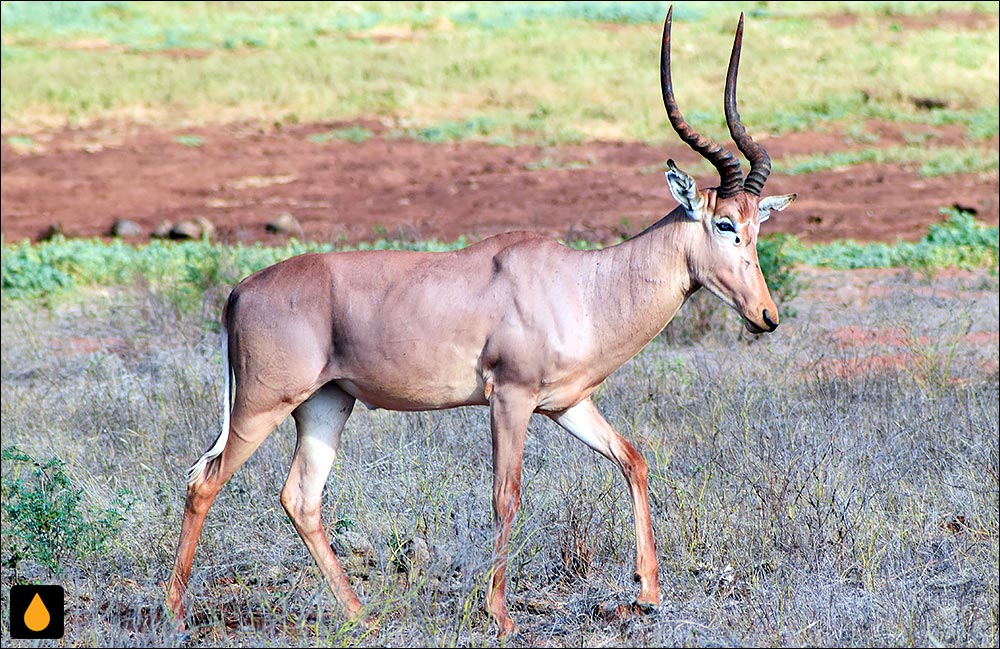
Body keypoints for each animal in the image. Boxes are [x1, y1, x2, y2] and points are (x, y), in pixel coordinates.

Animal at [166, 6, 796, 636]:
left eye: (757, 224)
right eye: (725, 224)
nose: (766, 316)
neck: (580, 282)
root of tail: (240, 291)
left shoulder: (566, 404)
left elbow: (633, 460)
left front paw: (647, 595)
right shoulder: (510, 398)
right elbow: (506, 495)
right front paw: (502, 616)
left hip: (326, 404)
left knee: (300, 497)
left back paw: (362, 616)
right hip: (261, 406)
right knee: (204, 481)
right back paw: (175, 613)